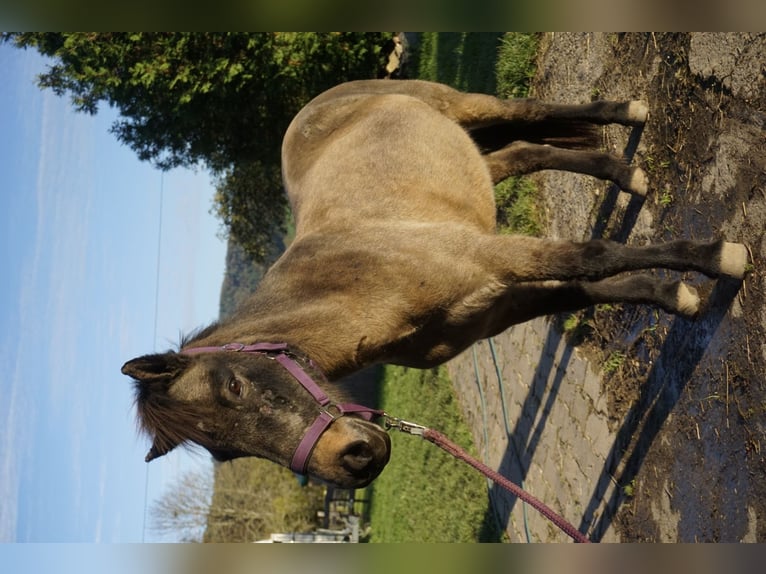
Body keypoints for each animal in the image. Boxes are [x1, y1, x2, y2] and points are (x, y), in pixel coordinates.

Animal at [123, 79, 748, 488]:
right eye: (225, 452)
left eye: (234, 387)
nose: (352, 460)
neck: (360, 281)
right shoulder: (501, 304)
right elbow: (588, 289)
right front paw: (675, 297)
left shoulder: (497, 258)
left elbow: (590, 258)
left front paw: (719, 259)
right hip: (474, 158)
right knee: (526, 151)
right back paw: (623, 174)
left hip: (460, 104)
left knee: (528, 111)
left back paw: (630, 118)